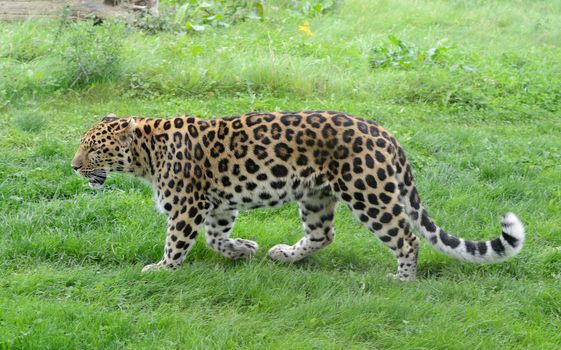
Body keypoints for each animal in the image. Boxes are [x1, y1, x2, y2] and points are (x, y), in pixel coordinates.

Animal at [71, 110, 524, 280]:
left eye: (93, 149)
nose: (74, 166)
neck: (146, 154)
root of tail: (387, 134)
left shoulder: (187, 205)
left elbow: (177, 241)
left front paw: (161, 269)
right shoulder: (217, 204)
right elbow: (216, 237)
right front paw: (244, 249)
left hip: (369, 193)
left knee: (407, 238)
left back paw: (403, 279)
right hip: (316, 195)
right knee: (324, 234)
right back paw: (284, 254)